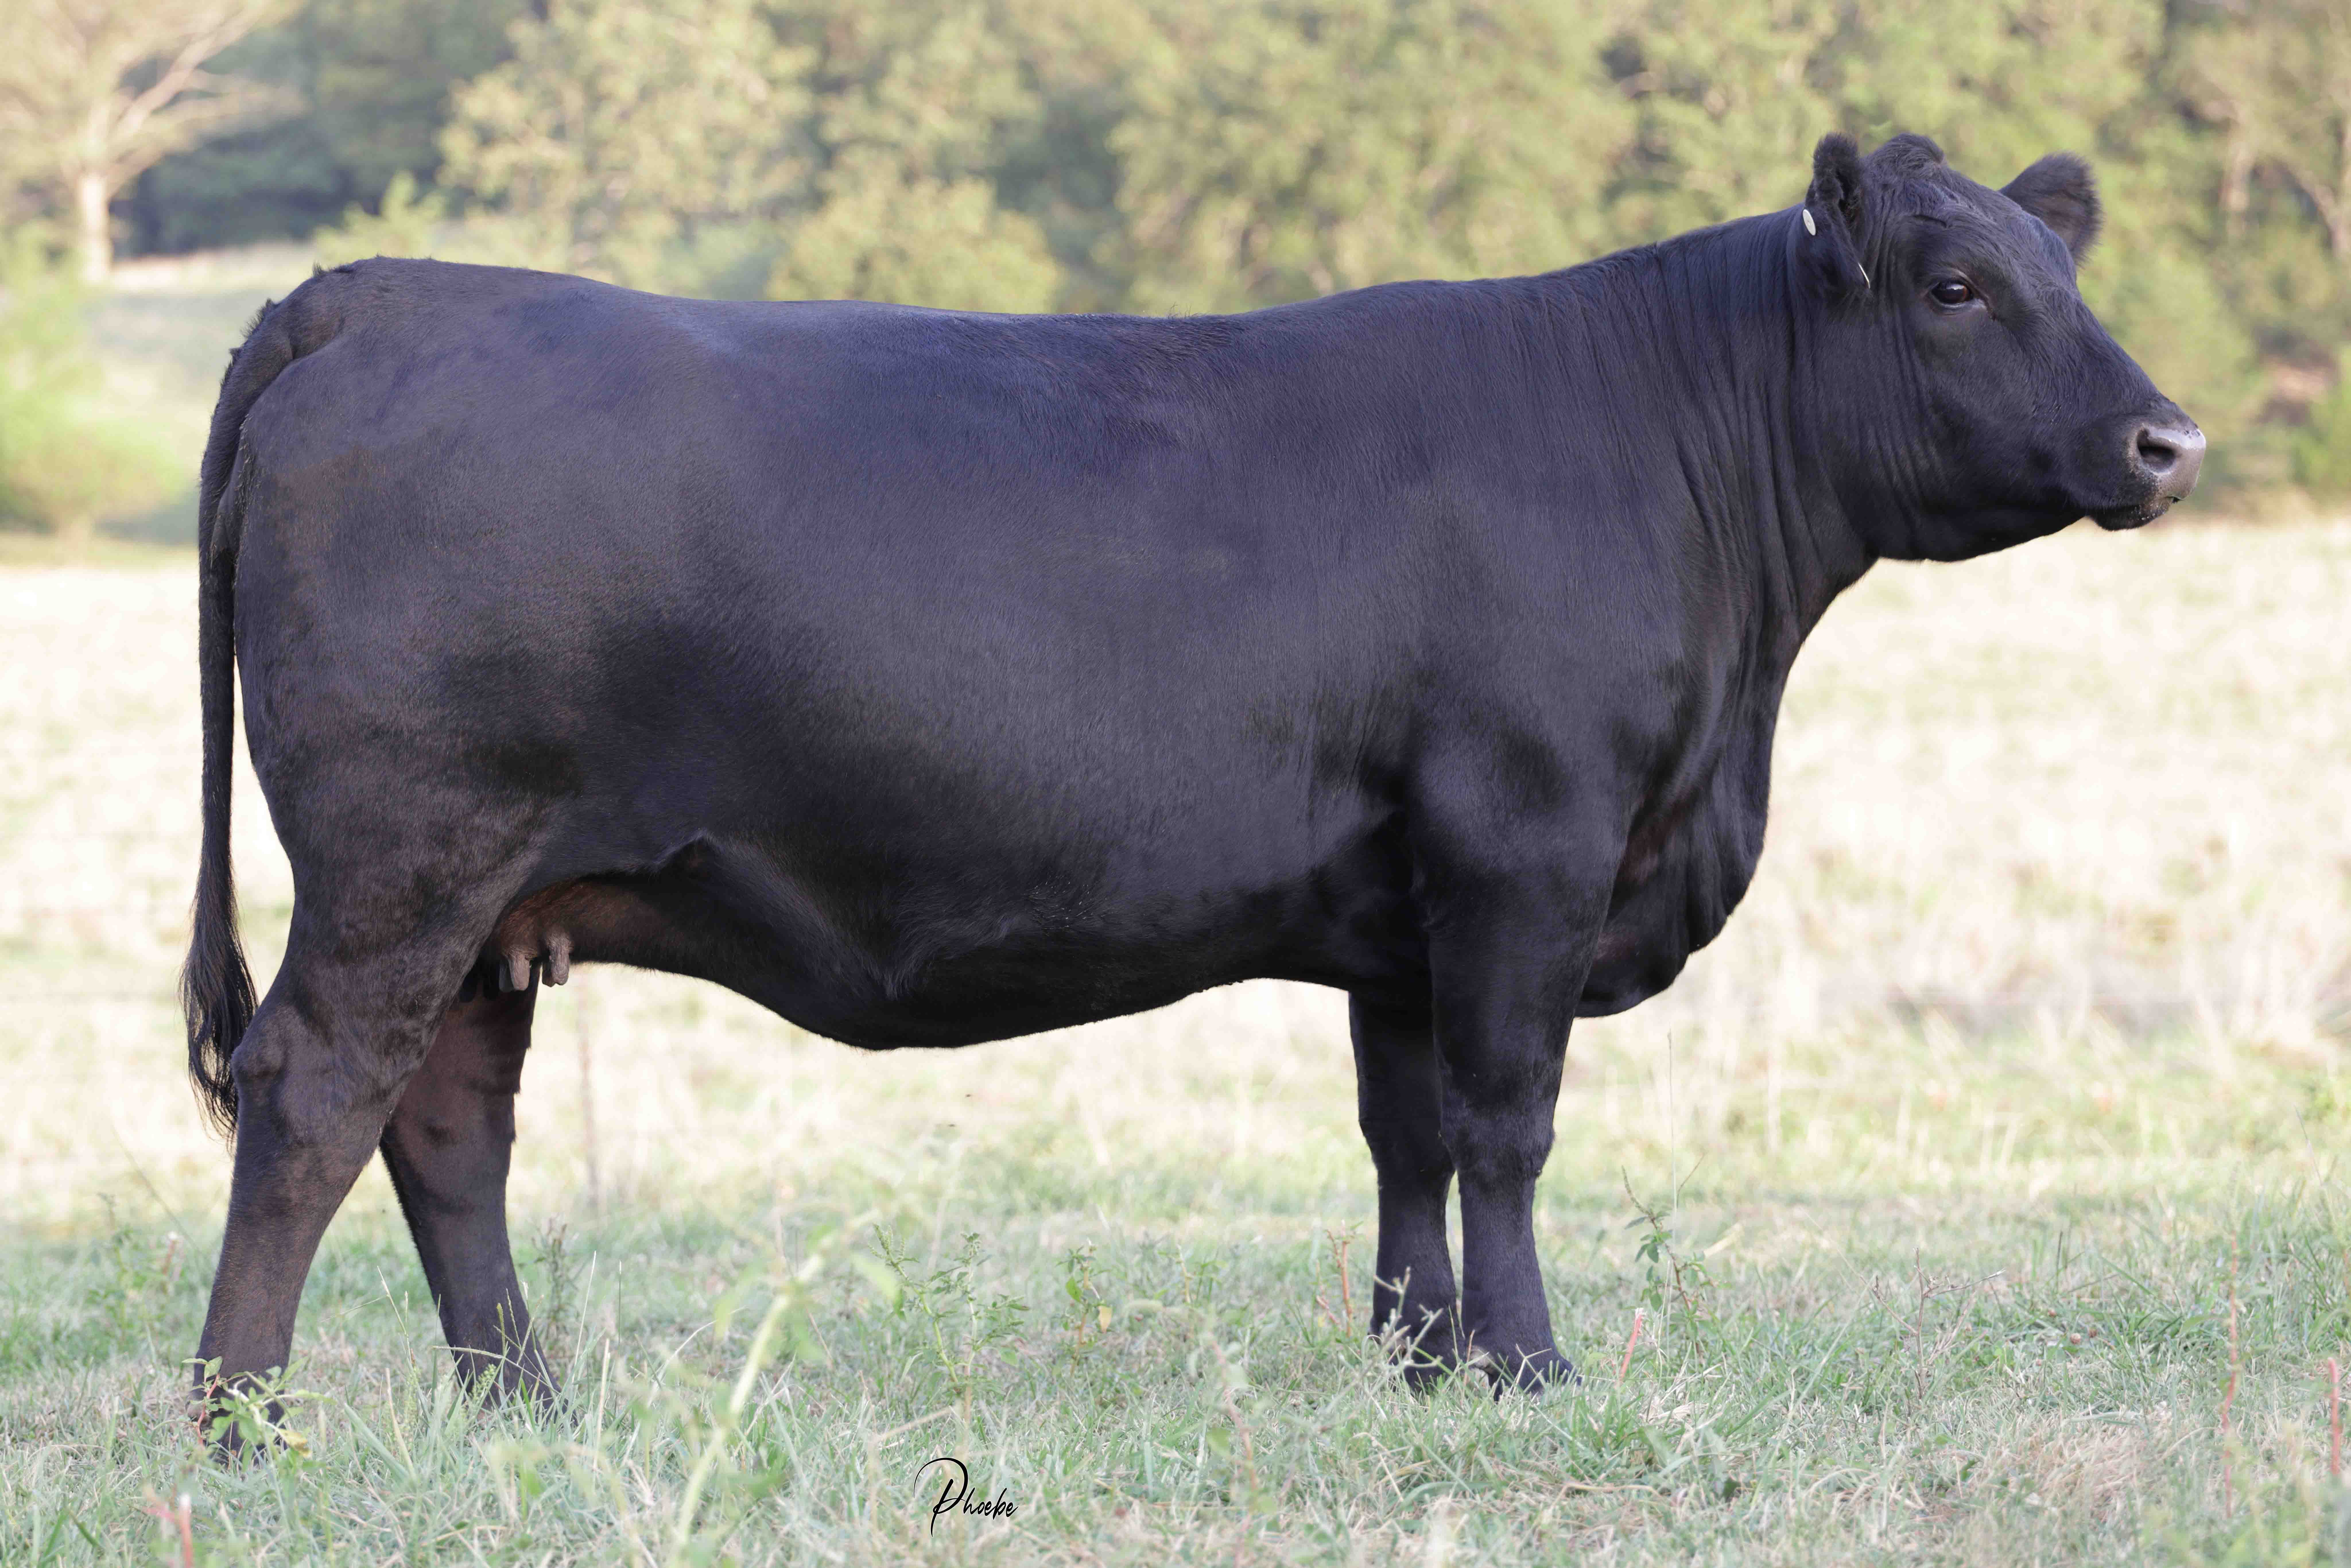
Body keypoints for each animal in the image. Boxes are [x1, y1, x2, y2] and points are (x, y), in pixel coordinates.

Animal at [181, 132, 2201, 1428]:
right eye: (1953, 284)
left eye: (2066, 272)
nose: (2164, 438)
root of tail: (383, 294)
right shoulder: (1523, 847)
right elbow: (1507, 1123)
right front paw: (1528, 1370)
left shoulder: (1404, 904)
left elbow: (1405, 1133)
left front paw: (1418, 1363)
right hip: (406, 863)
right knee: (316, 1094)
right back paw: (242, 1417)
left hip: (491, 898)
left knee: (449, 1127)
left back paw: (520, 1402)